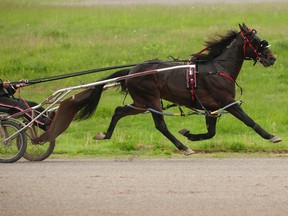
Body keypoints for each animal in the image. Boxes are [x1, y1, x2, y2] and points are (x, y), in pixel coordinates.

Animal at [33, 23, 282, 155]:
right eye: (258, 41)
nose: (272, 58)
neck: (216, 68)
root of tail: (132, 71)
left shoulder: (211, 107)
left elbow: (211, 132)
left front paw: (190, 134)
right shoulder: (227, 102)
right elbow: (249, 121)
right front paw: (272, 136)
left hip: (141, 102)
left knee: (119, 111)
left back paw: (105, 134)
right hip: (151, 99)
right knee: (160, 124)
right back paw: (183, 147)